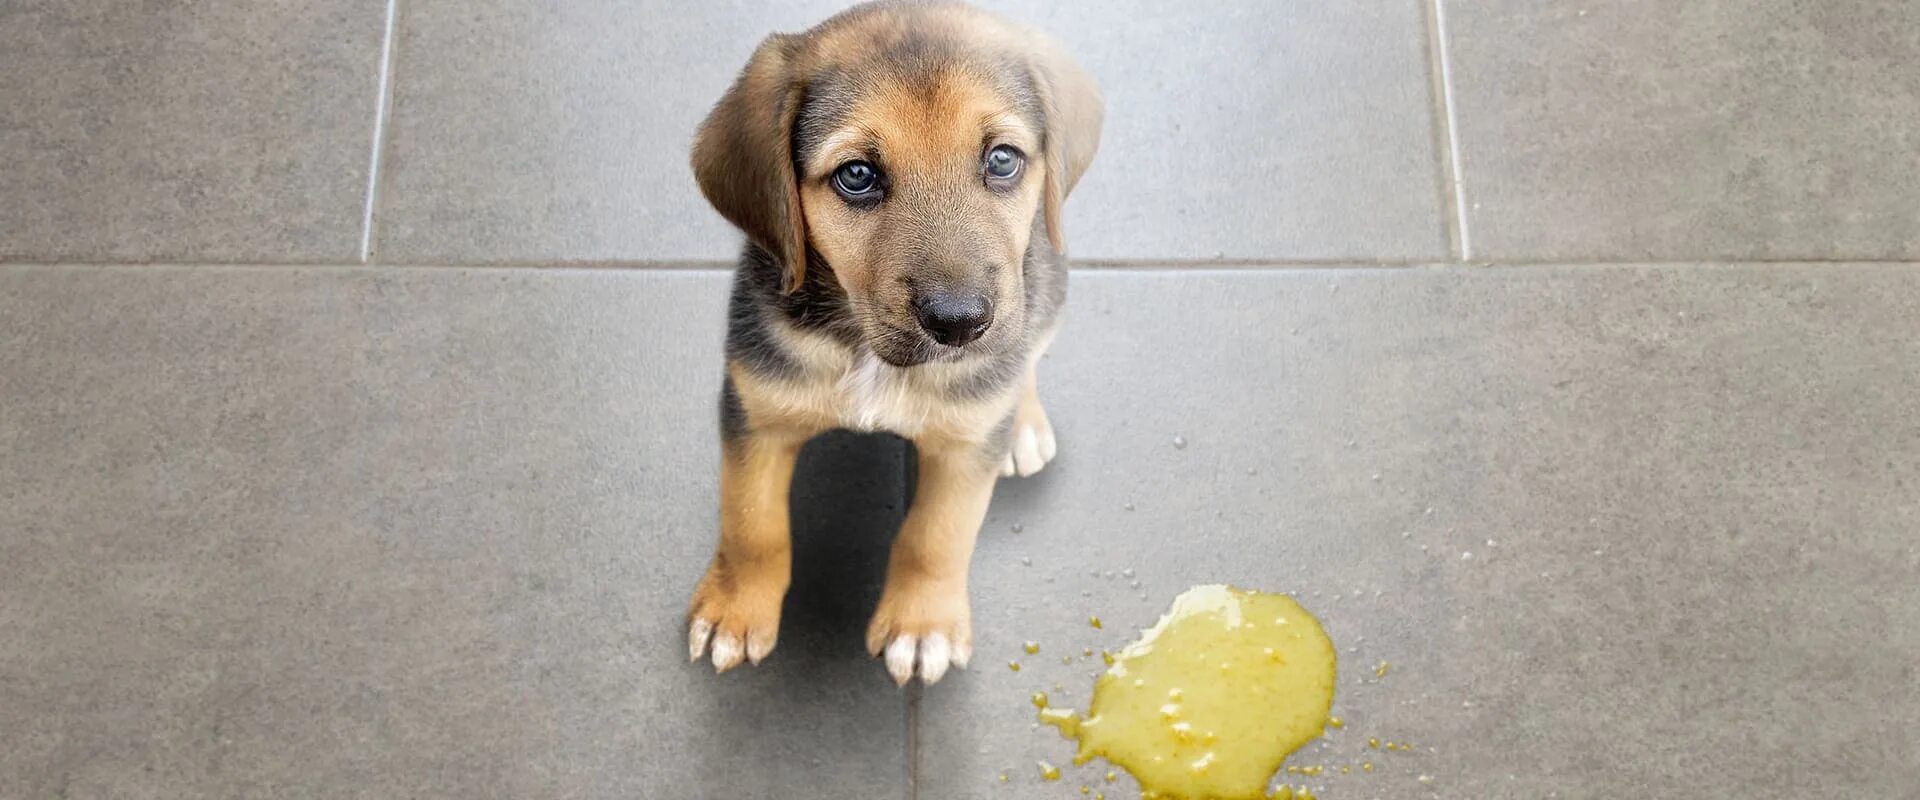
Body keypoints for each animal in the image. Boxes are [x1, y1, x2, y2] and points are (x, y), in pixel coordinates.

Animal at [683, 1, 1105, 686]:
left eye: (1003, 160)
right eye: (857, 175)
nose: (960, 323)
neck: (866, 350)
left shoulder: (964, 450)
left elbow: (936, 536)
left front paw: (921, 624)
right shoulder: (755, 411)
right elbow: (752, 525)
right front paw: (735, 611)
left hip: (1046, 289)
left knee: (1027, 358)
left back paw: (1023, 424)